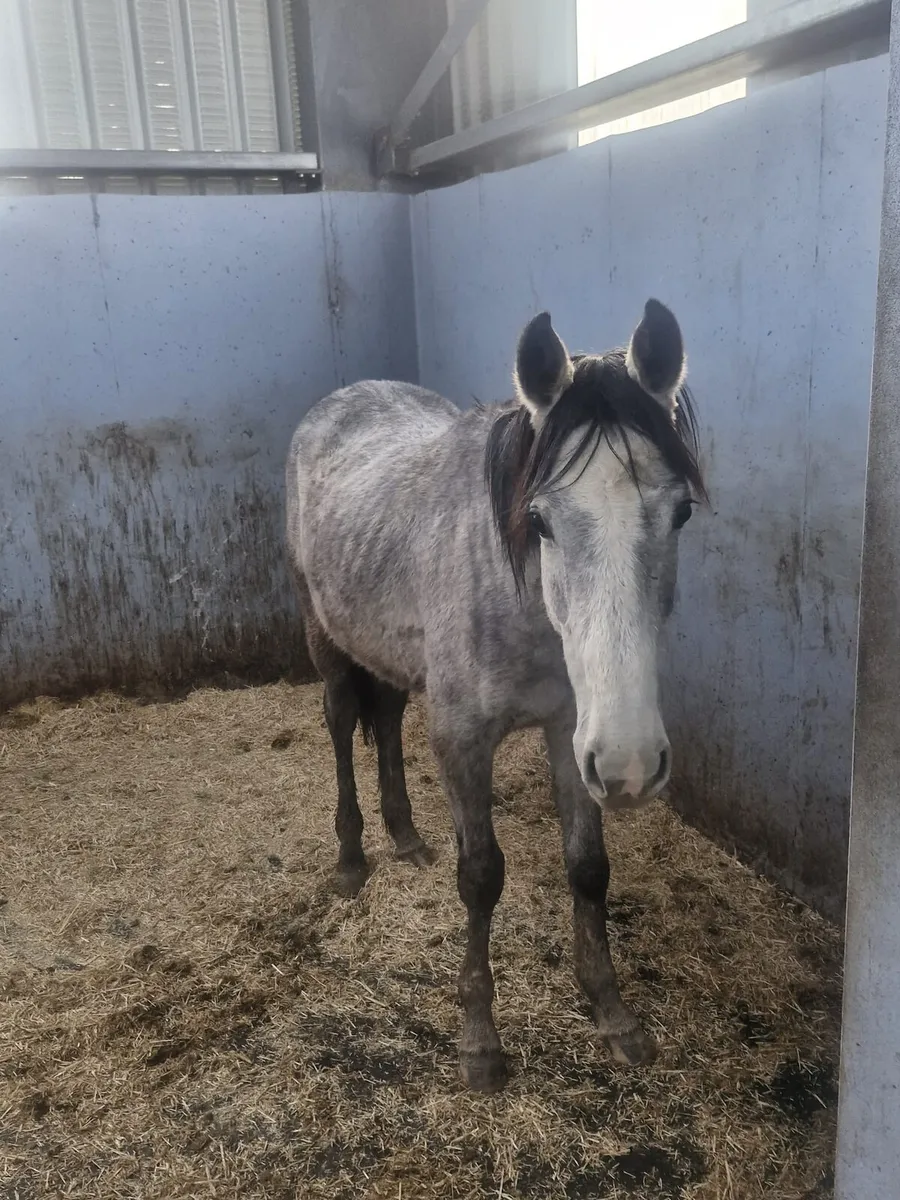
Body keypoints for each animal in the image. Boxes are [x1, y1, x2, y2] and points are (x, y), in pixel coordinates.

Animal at [286, 300, 705, 1092]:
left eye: (682, 515)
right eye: (538, 521)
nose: (635, 764)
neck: (526, 606)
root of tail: (338, 400)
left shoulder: (574, 733)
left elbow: (589, 869)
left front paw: (611, 1011)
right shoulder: (463, 739)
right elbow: (480, 876)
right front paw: (479, 1041)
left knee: (388, 720)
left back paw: (405, 837)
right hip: (326, 638)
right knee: (342, 725)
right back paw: (353, 859)